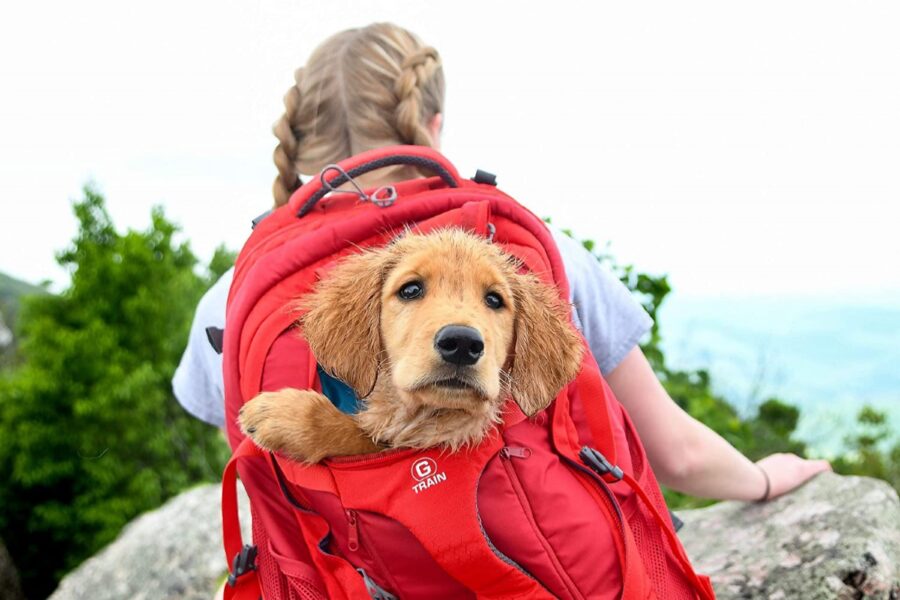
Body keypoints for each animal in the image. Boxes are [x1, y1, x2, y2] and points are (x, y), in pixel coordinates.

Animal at [237, 227, 584, 462]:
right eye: (411, 289)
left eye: (494, 300)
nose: (462, 343)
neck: (431, 417)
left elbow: (360, 436)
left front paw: (287, 414)